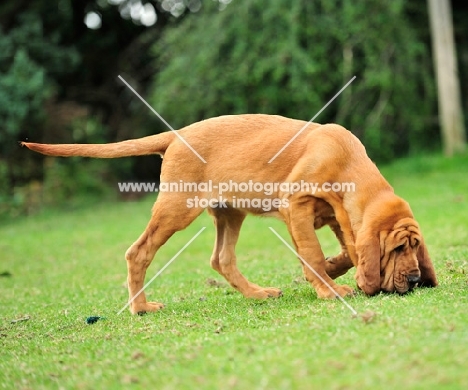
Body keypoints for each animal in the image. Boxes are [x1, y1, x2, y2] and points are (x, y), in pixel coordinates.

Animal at [23, 113, 436, 314]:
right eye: (398, 248)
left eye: (414, 247)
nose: (416, 279)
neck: (347, 164)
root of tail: (175, 136)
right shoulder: (296, 204)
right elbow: (313, 253)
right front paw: (330, 289)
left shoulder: (339, 219)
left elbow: (348, 252)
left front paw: (334, 271)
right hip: (177, 209)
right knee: (138, 252)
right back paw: (141, 307)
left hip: (230, 212)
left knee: (221, 259)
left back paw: (257, 294)